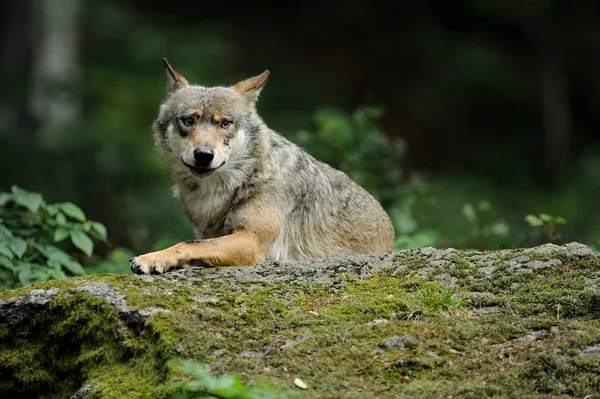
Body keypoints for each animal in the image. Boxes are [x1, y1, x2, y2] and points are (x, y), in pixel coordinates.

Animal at [129, 59, 396, 276]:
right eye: (188, 120)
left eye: (225, 123)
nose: (203, 155)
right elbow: (195, 244)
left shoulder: (252, 241)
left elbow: (188, 244)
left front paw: (151, 258)